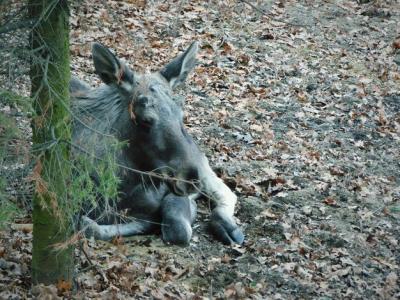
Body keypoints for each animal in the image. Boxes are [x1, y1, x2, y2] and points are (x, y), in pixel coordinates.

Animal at [70, 41, 242, 245]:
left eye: (181, 115)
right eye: (144, 120)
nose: (191, 178)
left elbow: (176, 226)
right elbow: (90, 226)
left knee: (225, 189)